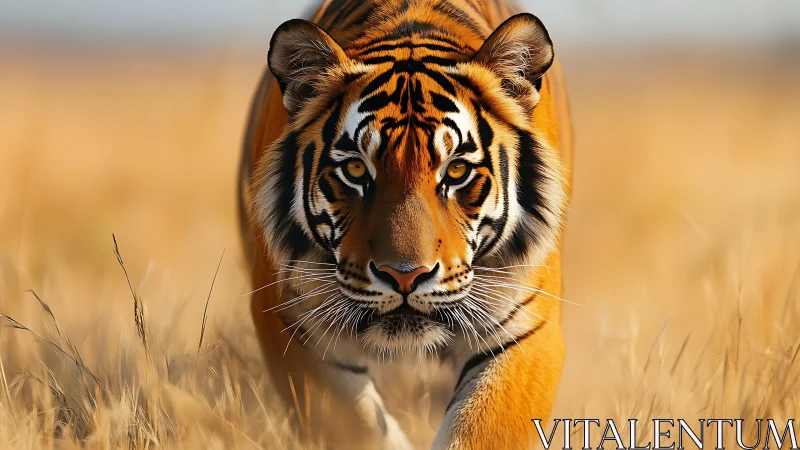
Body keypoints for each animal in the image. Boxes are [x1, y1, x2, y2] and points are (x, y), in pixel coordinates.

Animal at [239, 0, 573, 448]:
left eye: (457, 171)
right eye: (356, 169)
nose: (405, 276)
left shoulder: (528, 329)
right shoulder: (290, 320)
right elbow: (356, 424)